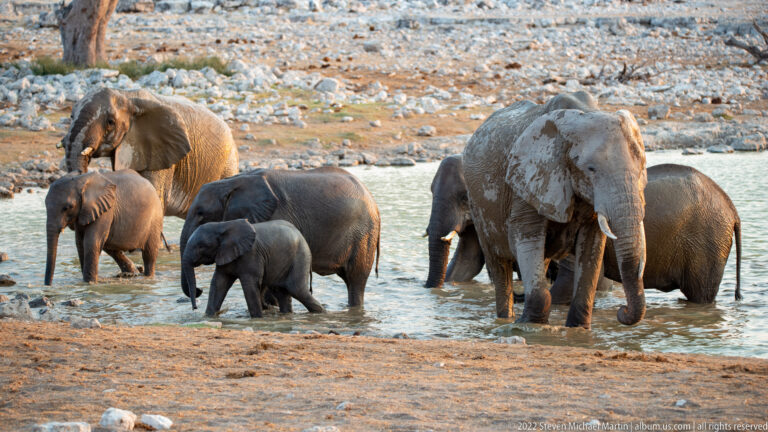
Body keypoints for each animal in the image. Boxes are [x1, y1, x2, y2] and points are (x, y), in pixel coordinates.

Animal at [179, 167, 381, 308]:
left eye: (201, 213)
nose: (199, 291)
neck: (232, 183)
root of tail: (374, 202)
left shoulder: (275, 216)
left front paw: (270, 307)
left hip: (364, 235)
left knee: (356, 279)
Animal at [182, 219, 325, 317]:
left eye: (201, 246)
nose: (194, 308)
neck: (222, 226)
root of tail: (302, 236)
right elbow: (218, 284)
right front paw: (208, 316)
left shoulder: (251, 255)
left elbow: (249, 286)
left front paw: (257, 318)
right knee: (281, 292)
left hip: (300, 257)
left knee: (297, 289)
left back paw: (322, 312)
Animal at [463, 91, 648, 328]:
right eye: (591, 169)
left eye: (641, 166)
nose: (621, 311)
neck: (584, 114)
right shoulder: (526, 182)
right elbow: (527, 238)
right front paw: (529, 326)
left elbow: (591, 247)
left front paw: (578, 329)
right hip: (479, 205)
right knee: (500, 266)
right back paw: (506, 319)